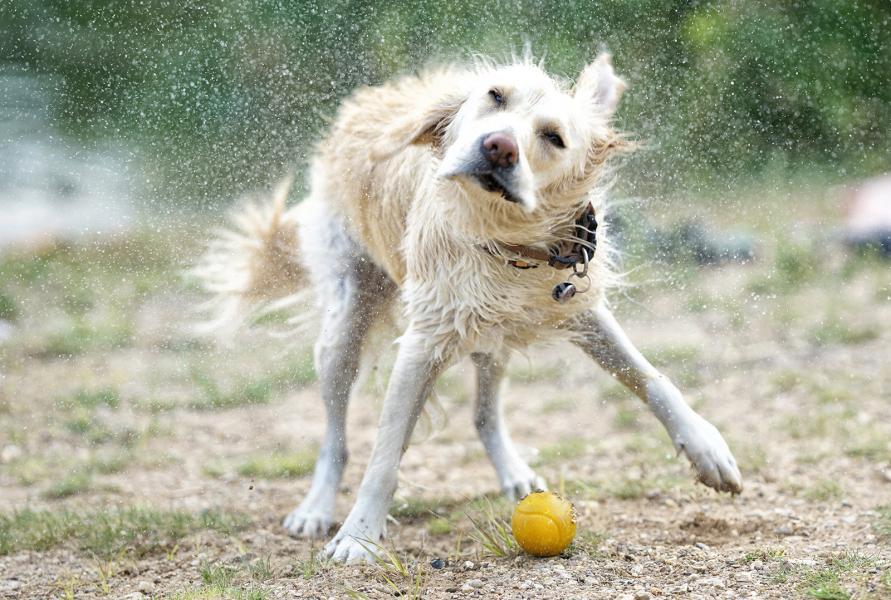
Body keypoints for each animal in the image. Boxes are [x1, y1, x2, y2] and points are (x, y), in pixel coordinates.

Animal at [197, 50, 744, 564]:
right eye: (495, 96)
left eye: (554, 137)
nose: (498, 146)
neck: (504, 240)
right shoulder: (423, 341)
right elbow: (384, 457)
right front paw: (358, 537)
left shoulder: (577, 307)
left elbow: (650, 378)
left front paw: (706, 448)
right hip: (344, 326)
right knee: (337, 437)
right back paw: (315, 508)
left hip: (493, 338)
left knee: (484, 415)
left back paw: (513, 471)